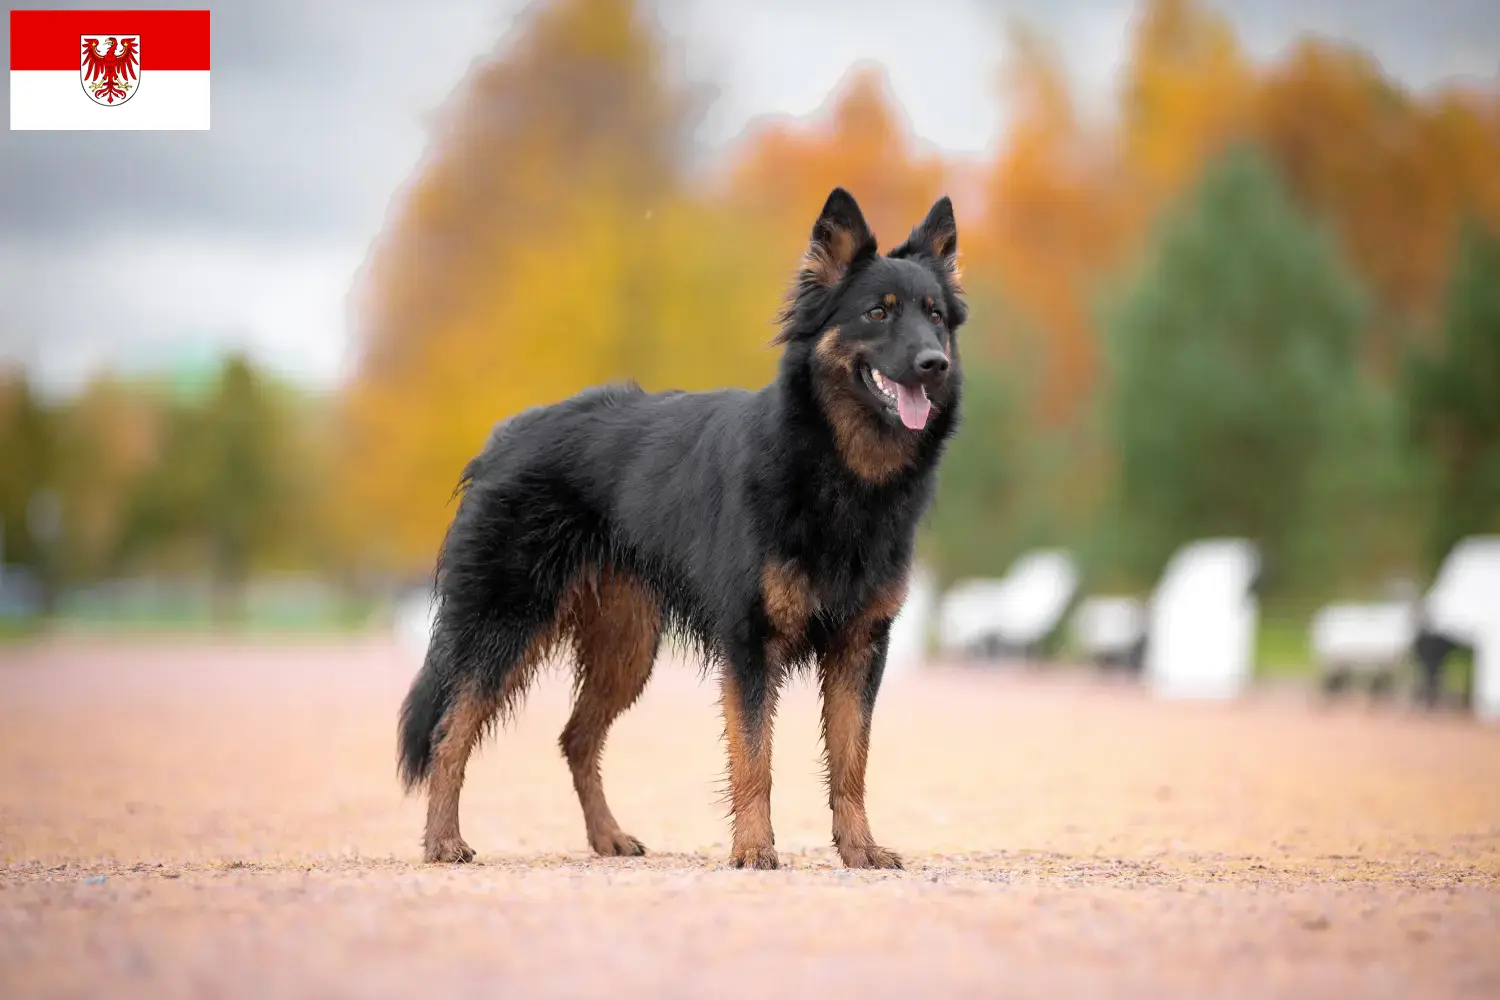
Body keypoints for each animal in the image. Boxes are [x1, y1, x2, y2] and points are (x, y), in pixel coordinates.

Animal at [393, 187, 966, 869]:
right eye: (878, 313)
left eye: (935, 317)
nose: (934, 364)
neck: (837, 470)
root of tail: (506, 435)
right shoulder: (751, 646)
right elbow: (755, 758)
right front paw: (754, 849)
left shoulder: (860, 649)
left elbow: (851, 763)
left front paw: (859, 849)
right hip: (505, 626)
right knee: (450, 731)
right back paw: (442, 840)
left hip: (627, 649)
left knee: (575, 738)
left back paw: (606, 837)